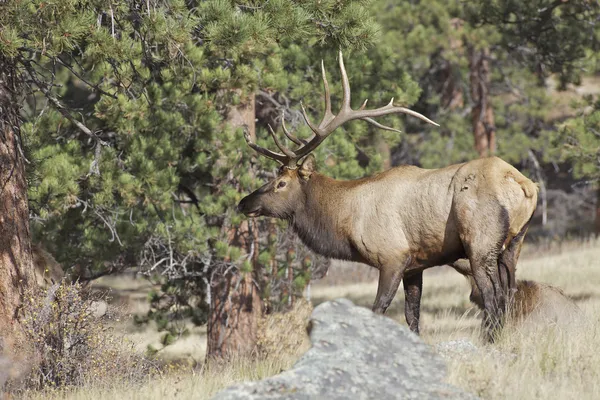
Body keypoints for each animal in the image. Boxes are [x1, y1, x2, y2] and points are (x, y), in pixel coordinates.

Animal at [237, 49, 536, 338]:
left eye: (281, 183)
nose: (243, 203)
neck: (345, 220)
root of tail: (525, 185)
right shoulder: (416, 266)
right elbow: (412, 318)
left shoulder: (393, 256)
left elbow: (378, 310)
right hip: (514, 244)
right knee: (510, 292)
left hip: (480, 243)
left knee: (493, 298)